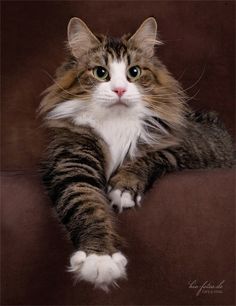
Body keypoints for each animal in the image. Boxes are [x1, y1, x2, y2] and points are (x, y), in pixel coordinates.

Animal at [39, 17, 235, 292]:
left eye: (134, 72)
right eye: (101, 72)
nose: (120, 90)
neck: (116, 121)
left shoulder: (179, 146)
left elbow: (146, 158)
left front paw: (123, 189)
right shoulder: (72, 161)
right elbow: (86, 204)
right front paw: (99, 259)